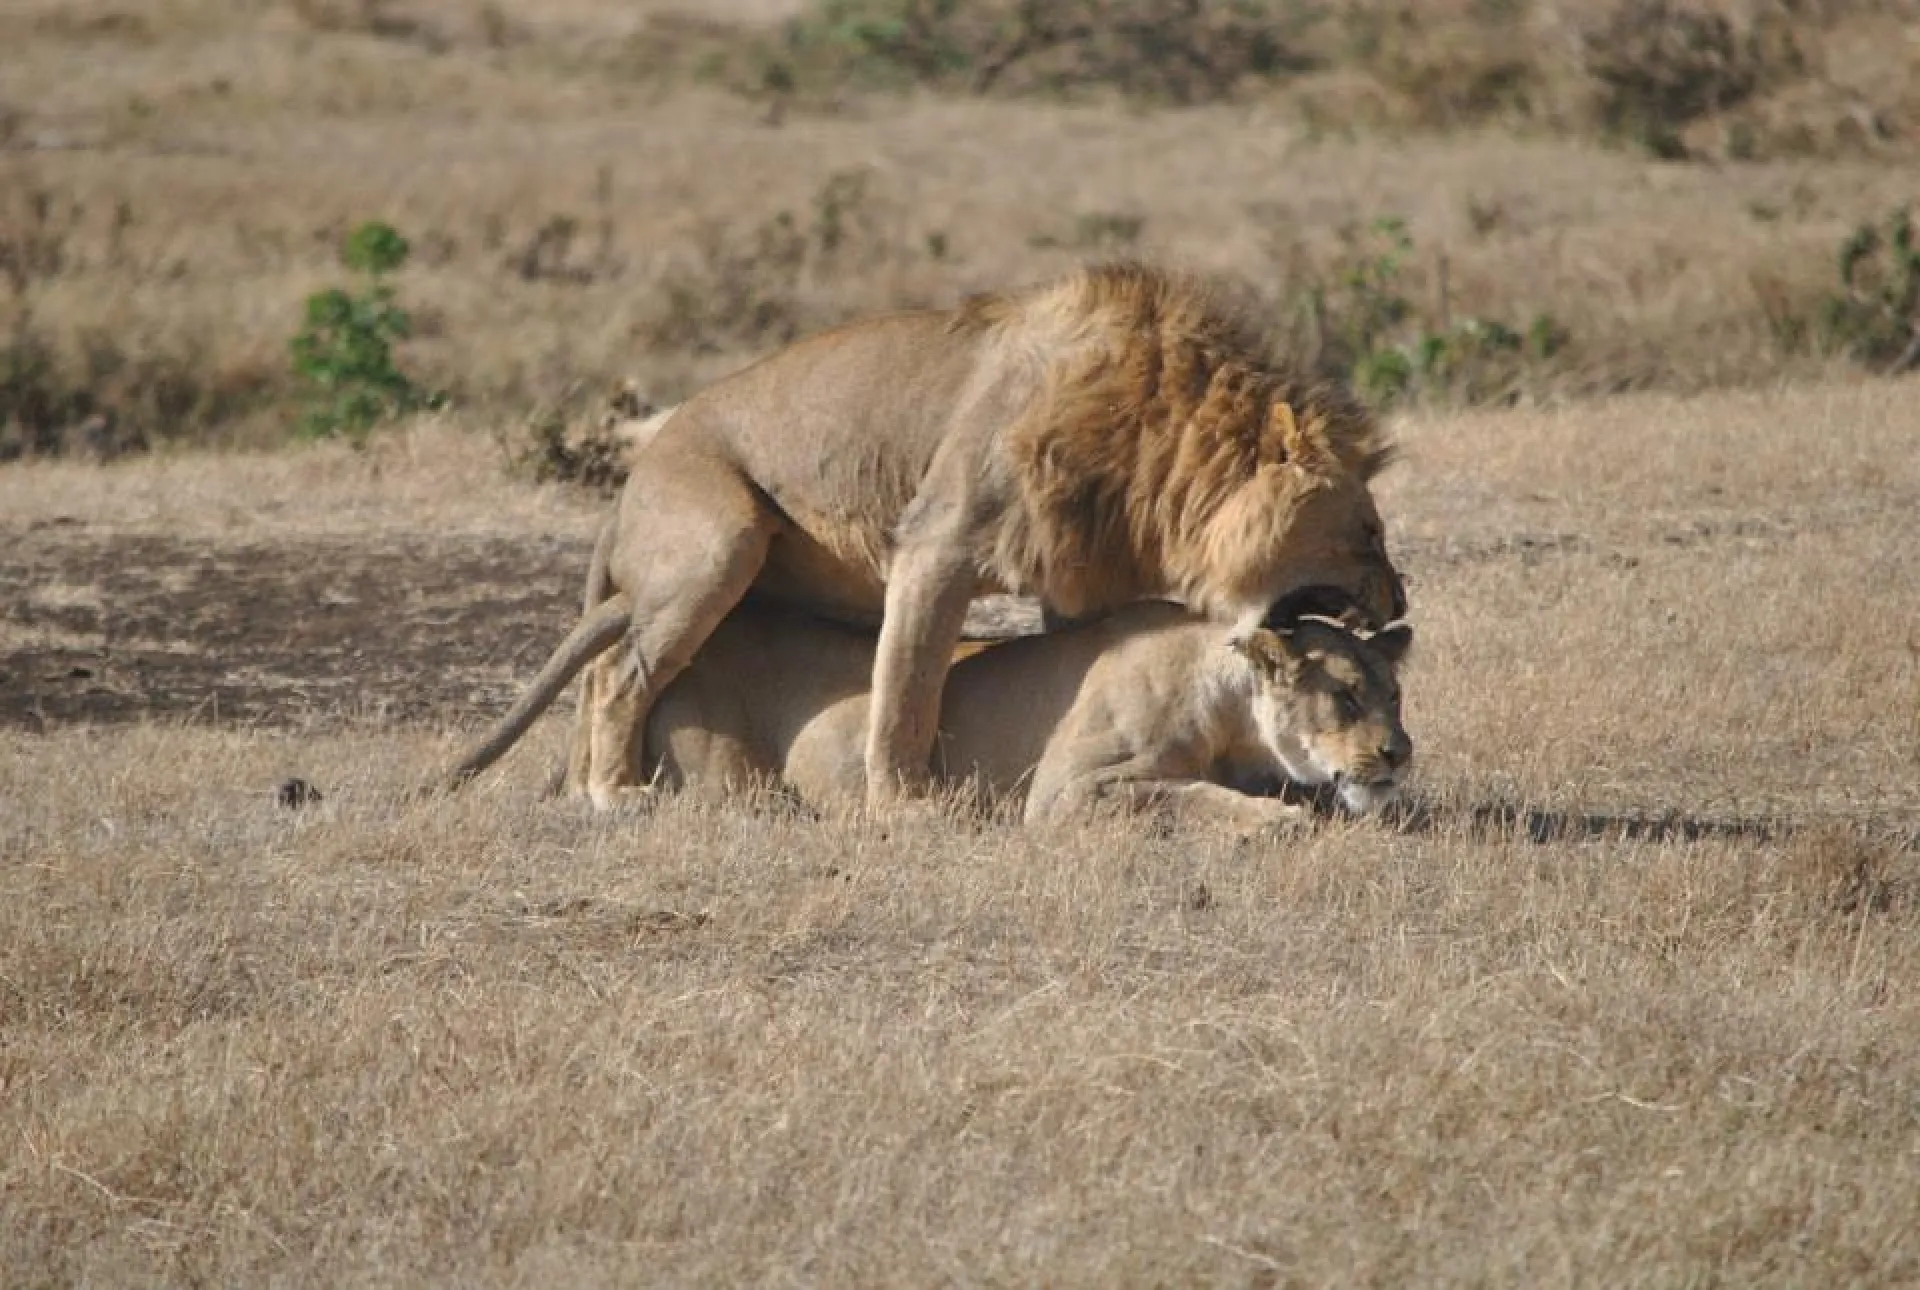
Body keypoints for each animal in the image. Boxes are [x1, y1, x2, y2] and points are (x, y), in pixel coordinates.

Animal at [451, 261, 1413, 806]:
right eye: (1366, 535)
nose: (1403, 606)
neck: (1156, 442)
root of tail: (628, 485)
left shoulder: (1074, 575)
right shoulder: (935, 544)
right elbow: (904, 692)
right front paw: (902, 805)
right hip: (723, 535)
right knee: (622, 674)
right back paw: (612, 794)